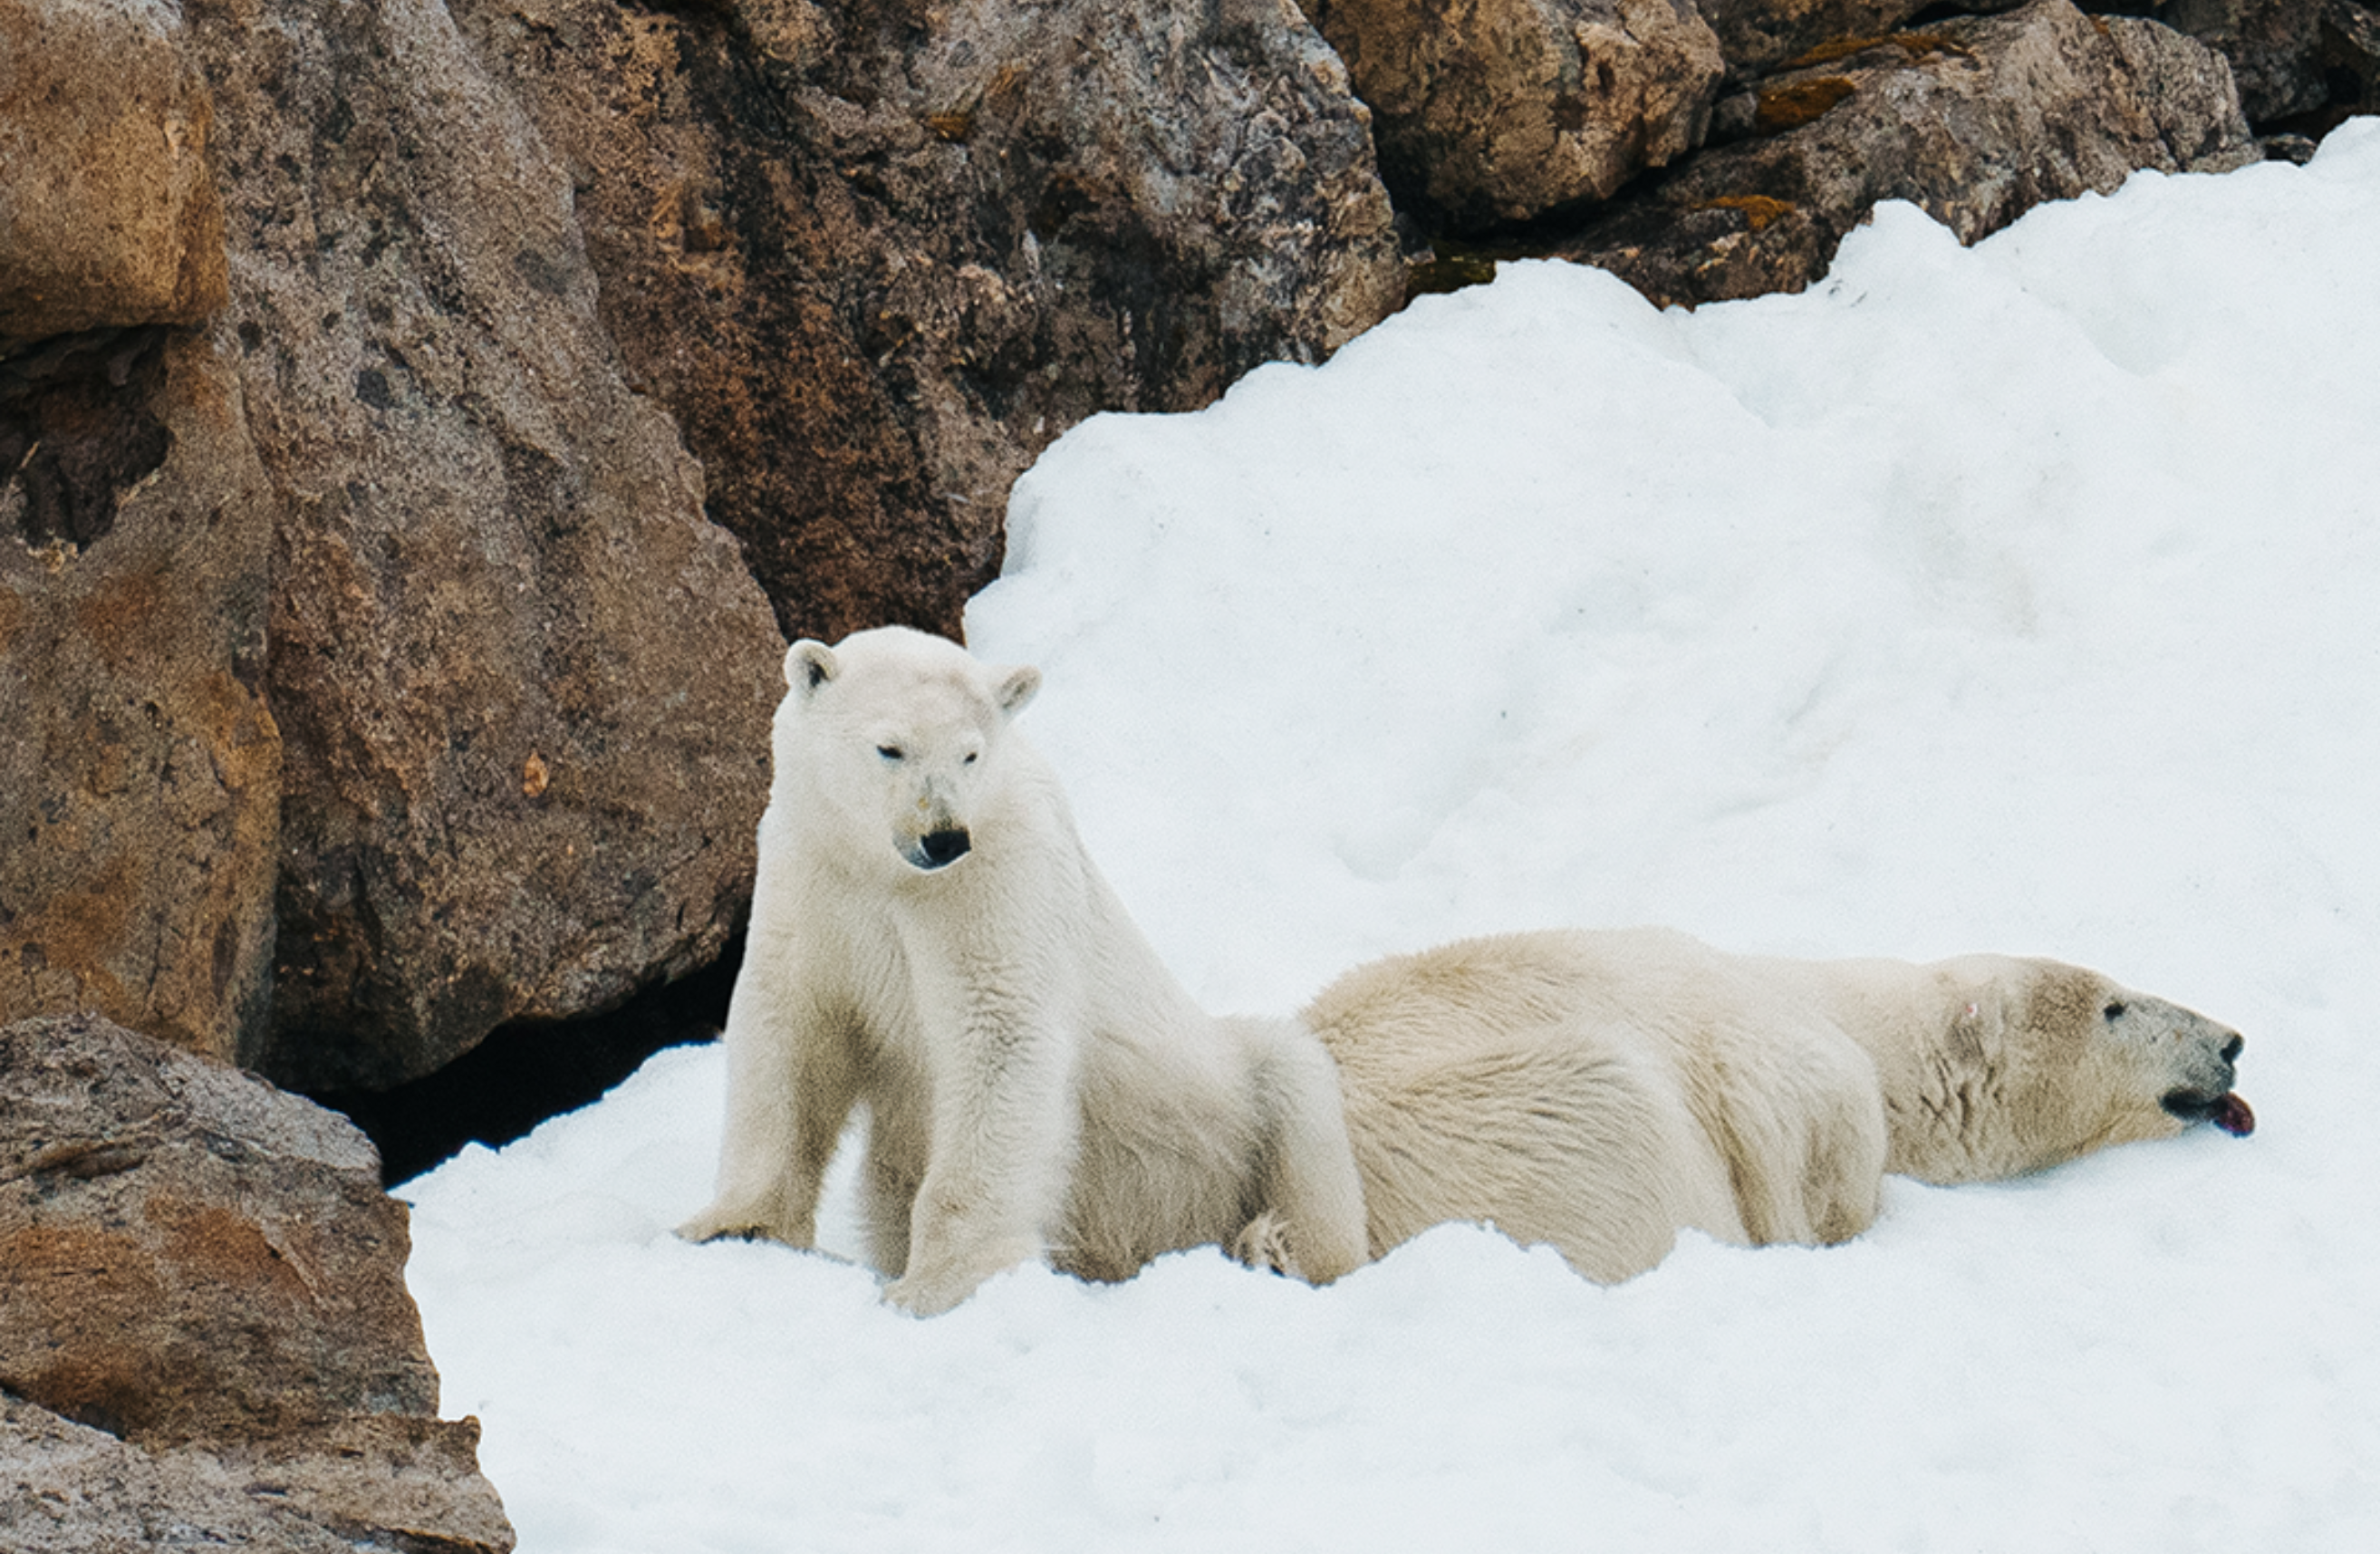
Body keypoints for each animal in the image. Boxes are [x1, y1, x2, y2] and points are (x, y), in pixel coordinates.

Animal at [678, 627, 1370, 1315]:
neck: (888, 872)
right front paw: (734, 1225)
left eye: (970, 754)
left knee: (1294, 1091)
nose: (943, 837)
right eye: (889, 747)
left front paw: (937, 1283)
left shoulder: (996, 877)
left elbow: (999, 1033)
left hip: (1221, 1100)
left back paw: (1276, 1251)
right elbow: (790, 1033)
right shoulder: (813, 874)